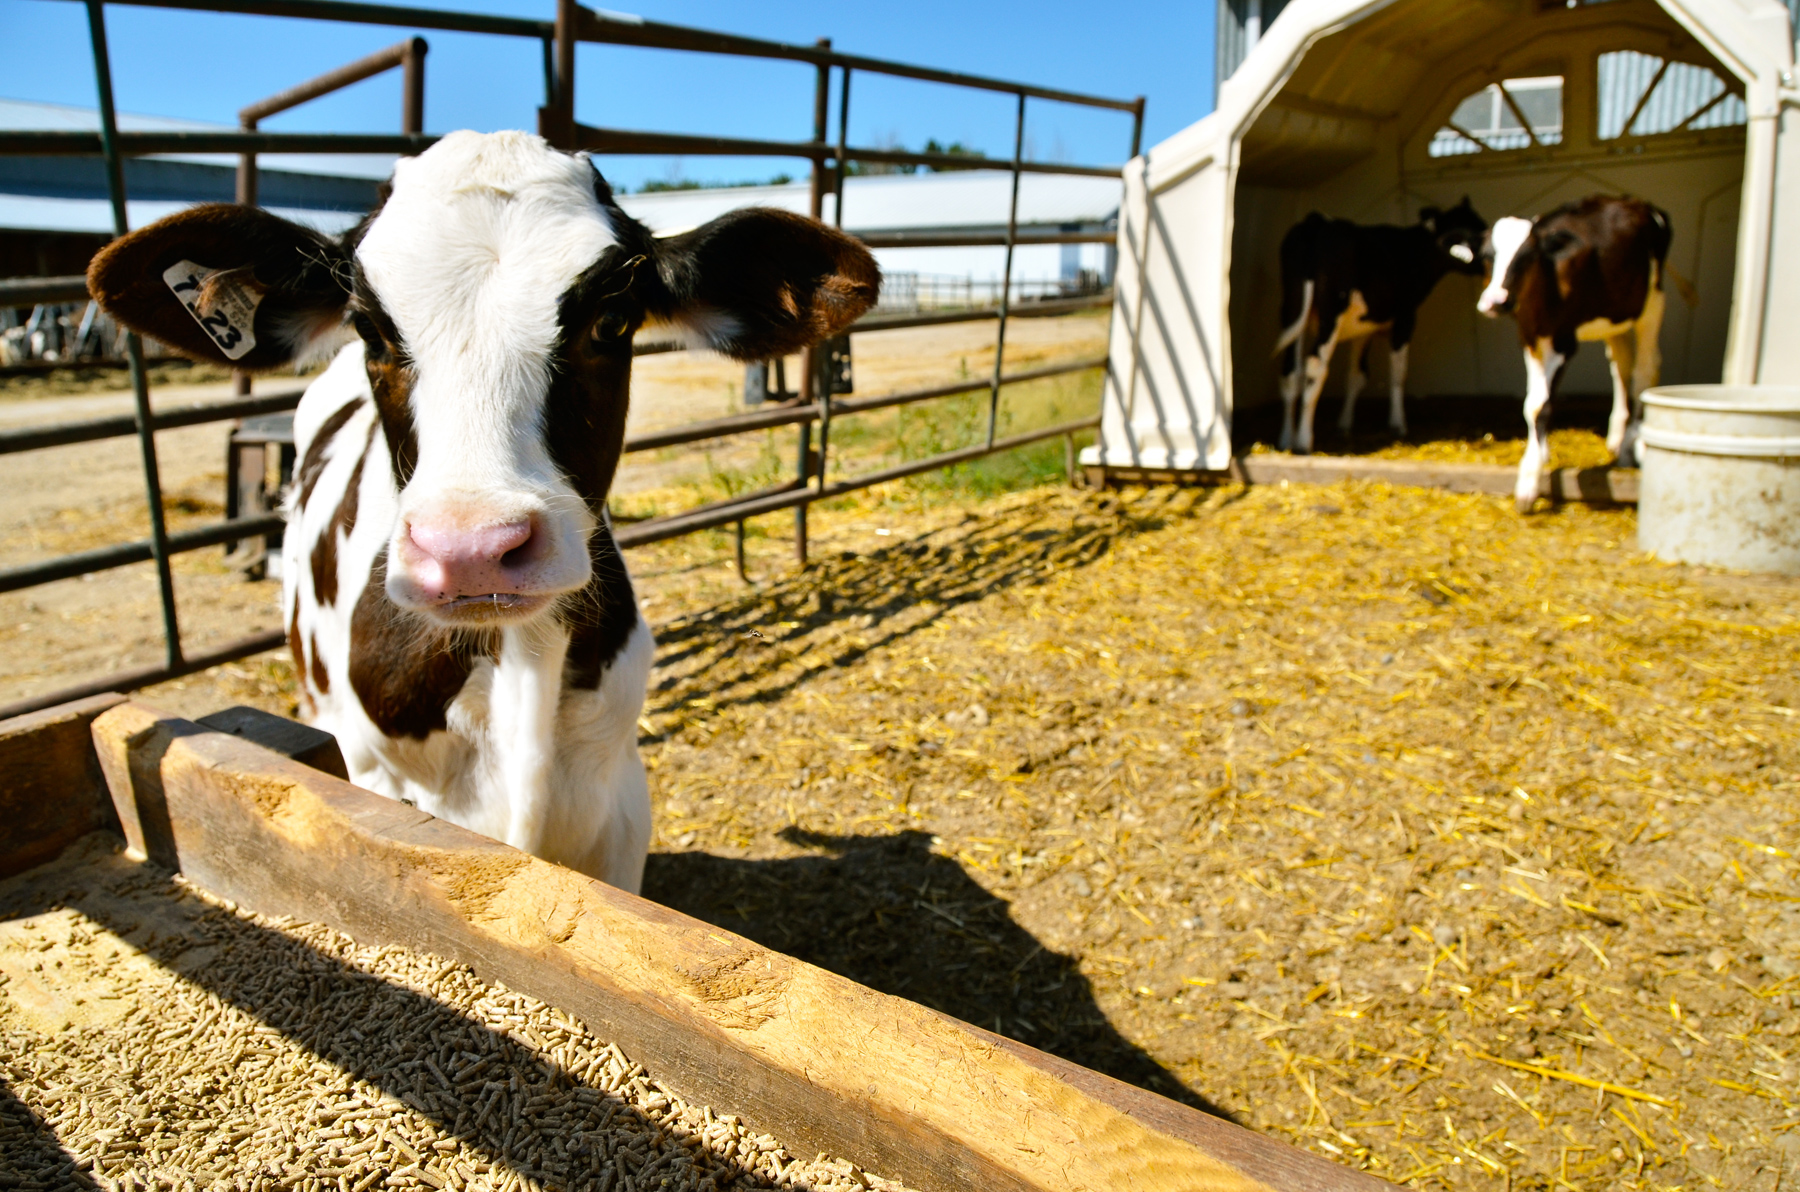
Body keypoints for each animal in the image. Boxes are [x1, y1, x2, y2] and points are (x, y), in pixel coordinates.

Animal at [89, 130, 878, 896]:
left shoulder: (621, 801)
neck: (519, 659)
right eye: (369, 328)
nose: (469, 551)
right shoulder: (373, 775)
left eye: (611, 321)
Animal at [1267, 198, 1490, 455]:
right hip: (1330, 313)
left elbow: (1356, 376)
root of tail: (1315, 222)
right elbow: (1398, 374)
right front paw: (1398, 424)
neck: (1412, 253)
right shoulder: (1405, 319)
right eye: (1471, 237)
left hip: (1292, 310)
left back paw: (1286, 439)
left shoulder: (1364, 328)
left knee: (1290, 371)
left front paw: (1344, 425)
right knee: (1315, 366)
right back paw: (1303, 442)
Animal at [1476, 192, 1670, 514]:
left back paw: (1630, 445)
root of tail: (1634, 201)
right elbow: (1531, 403)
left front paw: (1528, 484)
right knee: (1621, 365)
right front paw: (1538, 455)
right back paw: (1616, 436)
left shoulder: (1564, 340)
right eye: (1487, 256)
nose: (1495, 302)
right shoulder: (1528, 338)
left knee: (1645, 369)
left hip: (1651, 301)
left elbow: (1541, 404)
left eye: (1528, 256)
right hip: (1615, 312)